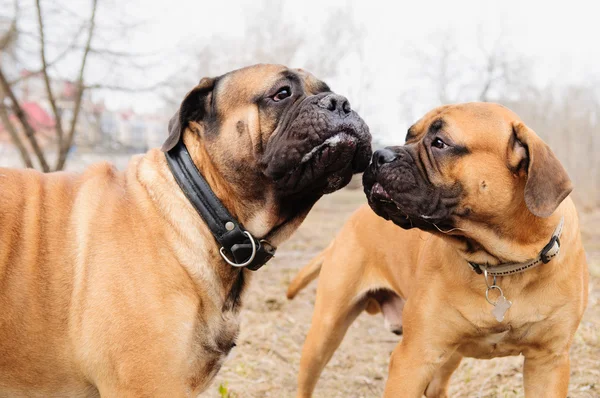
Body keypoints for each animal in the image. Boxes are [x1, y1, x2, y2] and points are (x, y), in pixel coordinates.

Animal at [288, 103, 588, 398]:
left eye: (440, 143)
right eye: (409, 136)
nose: (378, 156)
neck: (502, 263)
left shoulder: (548, 362)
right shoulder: (414, 359)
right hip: (325, 332)